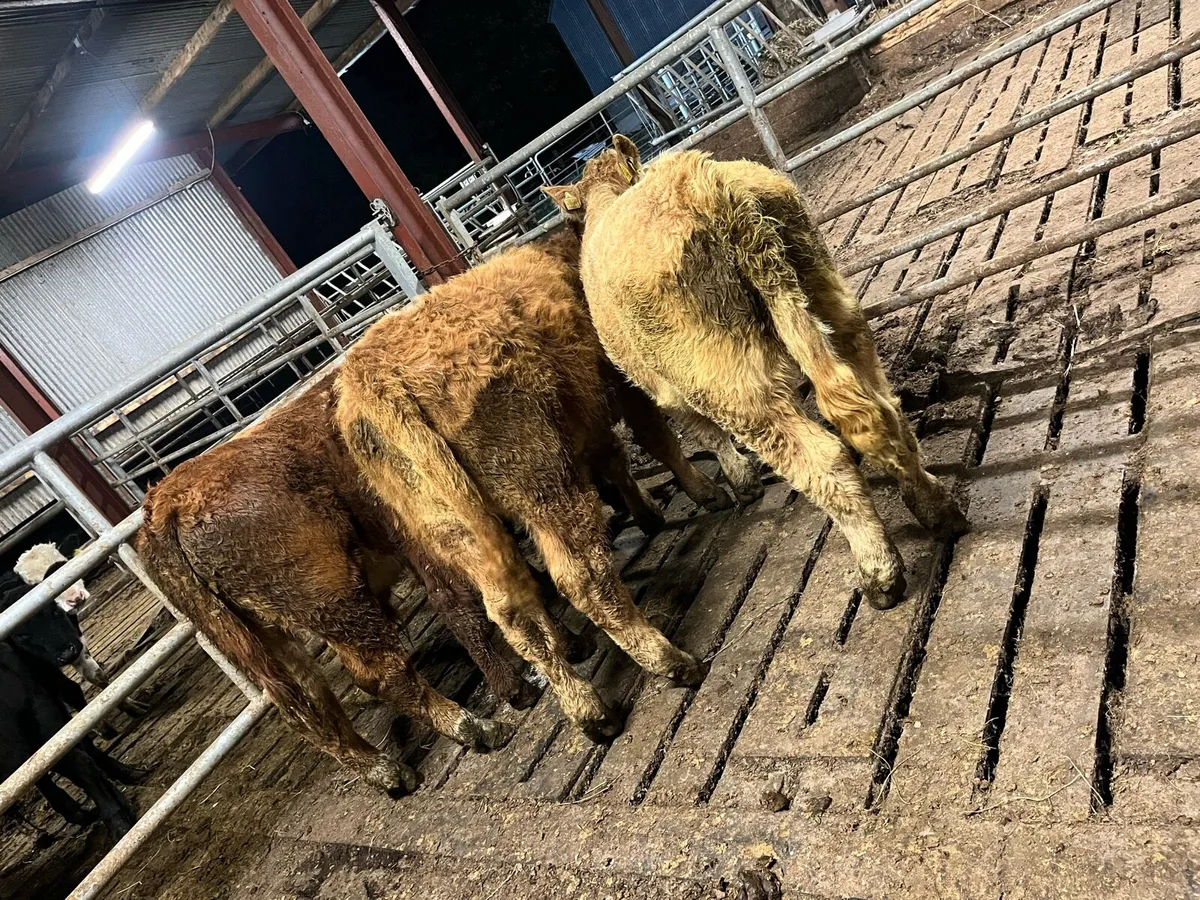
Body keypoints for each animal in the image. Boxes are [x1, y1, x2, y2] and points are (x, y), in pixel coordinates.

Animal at [544, 137, 969, 611]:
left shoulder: (666, 390)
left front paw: (742, 481)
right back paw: (937, 509)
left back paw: (879, 572)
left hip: (730, 383)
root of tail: (701, 185)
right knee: (878, 412)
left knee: (823, 459)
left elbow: (704, 435)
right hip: (830, 302)